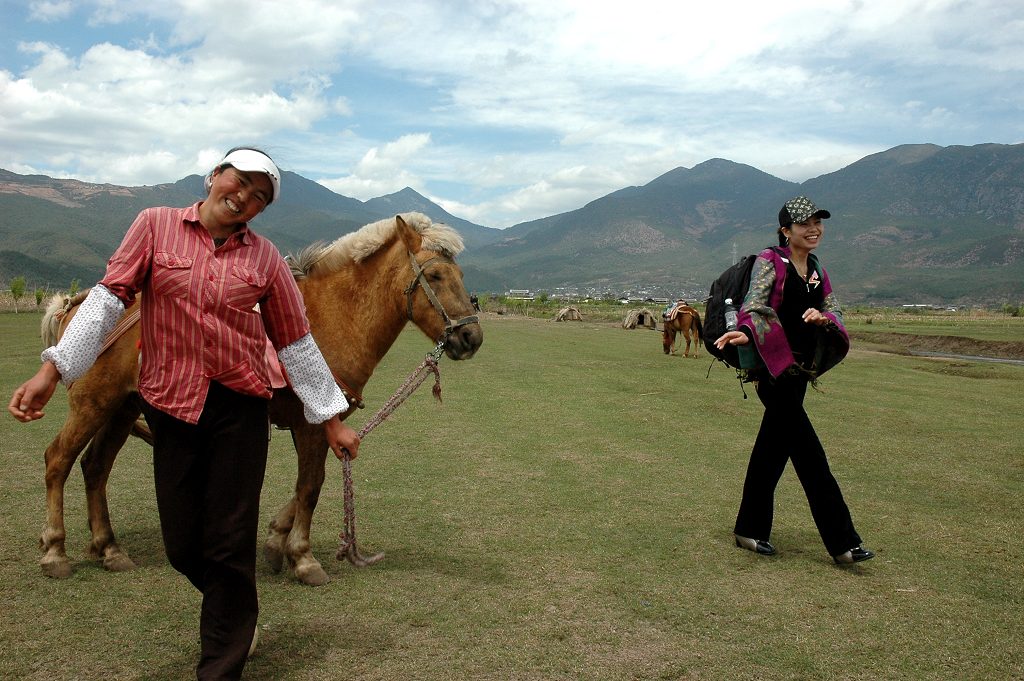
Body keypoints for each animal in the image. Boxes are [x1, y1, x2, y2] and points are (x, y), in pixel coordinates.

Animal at [33, 213, 479, 585]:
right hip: (93, 403)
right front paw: (303, 557)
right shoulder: (310, 424)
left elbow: (307, 485)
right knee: (58, 460)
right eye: (435, 274)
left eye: (459, 273)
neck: (333, 318)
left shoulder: (322, 425)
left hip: (121, 408)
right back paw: (56, 551)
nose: (471, 336)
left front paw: (277, 540)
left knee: (95, 468)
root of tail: (75, 303)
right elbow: (311, 485)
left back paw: (109, 549)